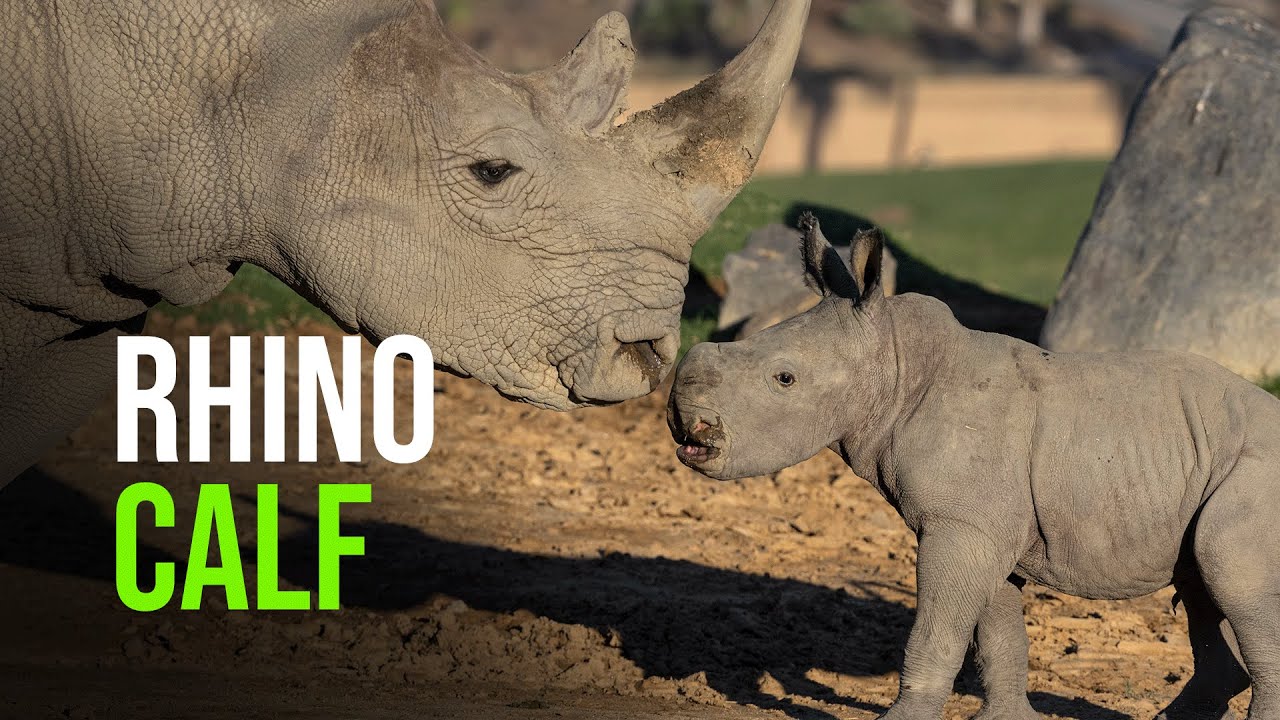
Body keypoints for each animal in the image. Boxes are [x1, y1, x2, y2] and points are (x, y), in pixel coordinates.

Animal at [668, 213, 1280, 720]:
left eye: (785, 379)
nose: (684, 424)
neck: (897, 363)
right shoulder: (983, 526)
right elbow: (998, 632)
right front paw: (1006, 719)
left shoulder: (961, 524)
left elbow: (938, 630)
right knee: (1201, 585)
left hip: (1256, 474)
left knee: (1229, 575)